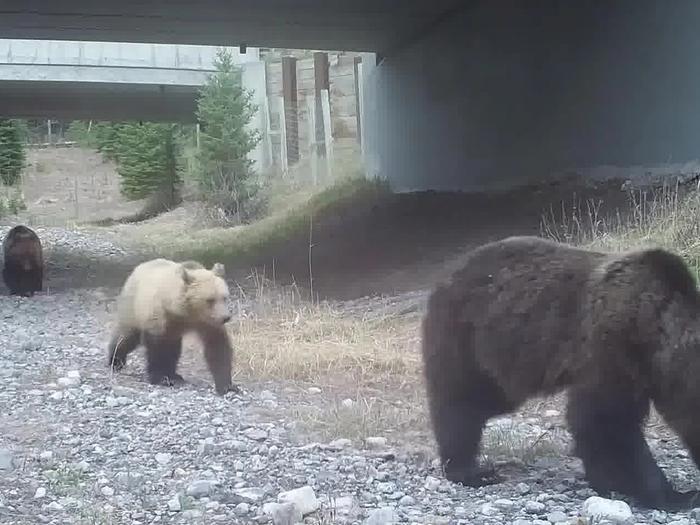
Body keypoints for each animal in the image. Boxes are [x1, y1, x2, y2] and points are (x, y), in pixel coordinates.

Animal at [107, 257, 239, 395]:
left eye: (224, 297)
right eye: (210, 300)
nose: (226, 317)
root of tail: (140, 267)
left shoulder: (207, 323)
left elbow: (217, 347)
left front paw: (227, 385)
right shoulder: (159, 318)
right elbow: (156, 348)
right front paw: (160, 378)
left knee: (173, 349)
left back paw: (175, 375)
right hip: (133, 306)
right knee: (127, 335)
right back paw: (115, 361)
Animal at [421, 235, 700, 511]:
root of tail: (446, 276)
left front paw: (607, 479)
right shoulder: (610, 353)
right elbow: (607, 421)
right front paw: (674, 495)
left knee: (487, 402)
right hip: (465, 337)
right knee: (460, 402)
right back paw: (469, 470)